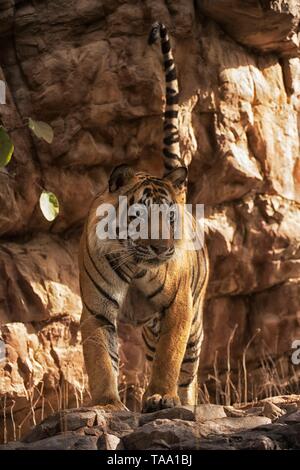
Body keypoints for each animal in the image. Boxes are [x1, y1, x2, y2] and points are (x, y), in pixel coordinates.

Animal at [79, 22, 209, 412]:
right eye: (139, 216)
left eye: (169, 219)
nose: (162, 250)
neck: (136, 265)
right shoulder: (97, 312)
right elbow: (101, 361)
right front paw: (107, 404)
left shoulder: (179, 307)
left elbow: (170, 356)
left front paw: (162, 397)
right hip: (149, 330)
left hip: (194, 323)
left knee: (189, 370)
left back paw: (185, 403)